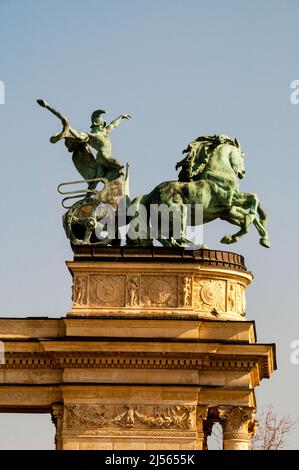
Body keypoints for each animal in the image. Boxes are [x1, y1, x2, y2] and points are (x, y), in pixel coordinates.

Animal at [126, 136, 272, 250]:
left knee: (159, 234)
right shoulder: (230, 200)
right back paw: (199, 246)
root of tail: (150, 194)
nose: (243, 173)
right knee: (175, 235)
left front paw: (262, 238)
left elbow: (247, 217)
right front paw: (246, 226)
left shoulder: (227, 211)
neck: (220, 171)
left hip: (166, 220)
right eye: (242, 155)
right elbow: (253, 199)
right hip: (180, 210)